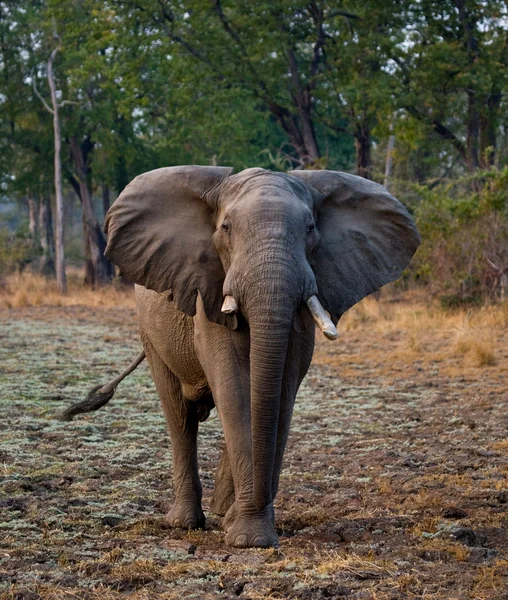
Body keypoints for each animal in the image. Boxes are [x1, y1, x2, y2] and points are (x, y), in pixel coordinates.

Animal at [62, 165, 420, 548]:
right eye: (226, 228)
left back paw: (220, 511)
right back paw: (184, 522)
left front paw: (246, 528)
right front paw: (248, 538)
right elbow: (234, 384)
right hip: (149, 331)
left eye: (311, 228)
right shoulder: (209, 292)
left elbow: (280, 391)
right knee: (179, 414)